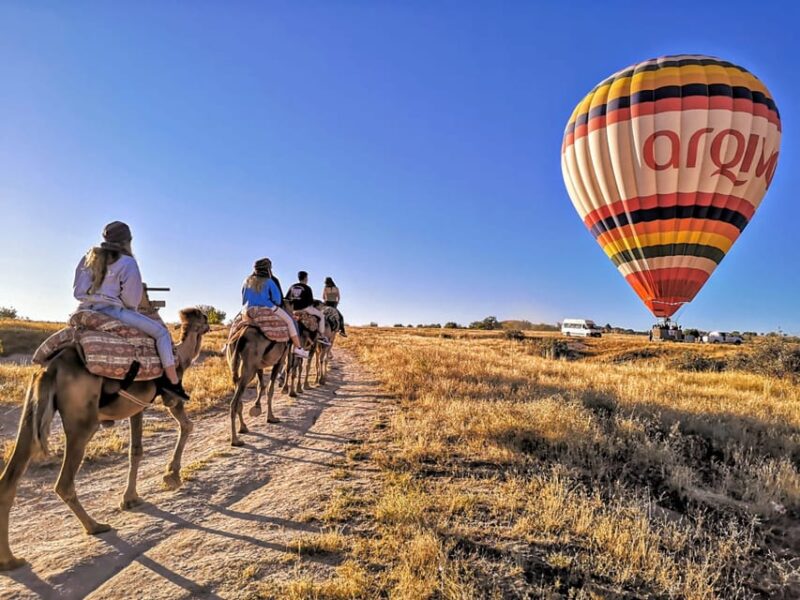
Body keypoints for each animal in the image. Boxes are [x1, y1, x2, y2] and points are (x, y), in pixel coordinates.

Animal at [0, 308, 209, 571]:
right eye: (203, 319)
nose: (209, 324)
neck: (181, 355)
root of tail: (51, 368)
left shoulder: (136, 407)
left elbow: (136, 450)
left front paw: (131, 498)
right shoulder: (170, 398)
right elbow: (186, 426)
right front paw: (171, 476)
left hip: (32, 408)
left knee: (10, 476)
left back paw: (10, 559)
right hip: (83, 422)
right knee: (64, 482)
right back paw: (95, 526)